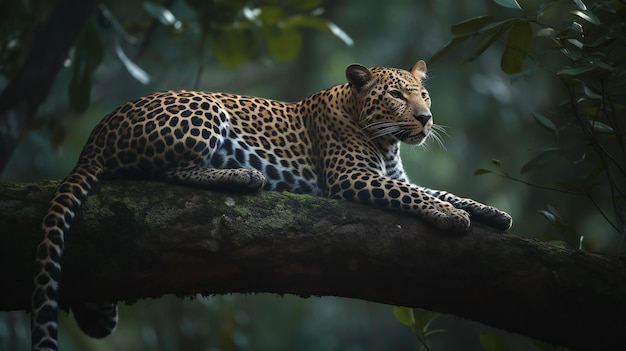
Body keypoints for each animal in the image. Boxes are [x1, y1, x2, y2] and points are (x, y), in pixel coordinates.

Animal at [29, 60, 510, 351]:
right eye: (395, 96)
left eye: (423, 96)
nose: (426, 119)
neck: (386, 141)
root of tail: (96, 135)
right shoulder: (353, 178)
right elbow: (419, 197)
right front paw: (451, 217)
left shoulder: (393, 175)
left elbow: (438, 191)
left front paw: (493, 214)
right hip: (203, 108)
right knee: (162, 174)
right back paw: (243, 176)